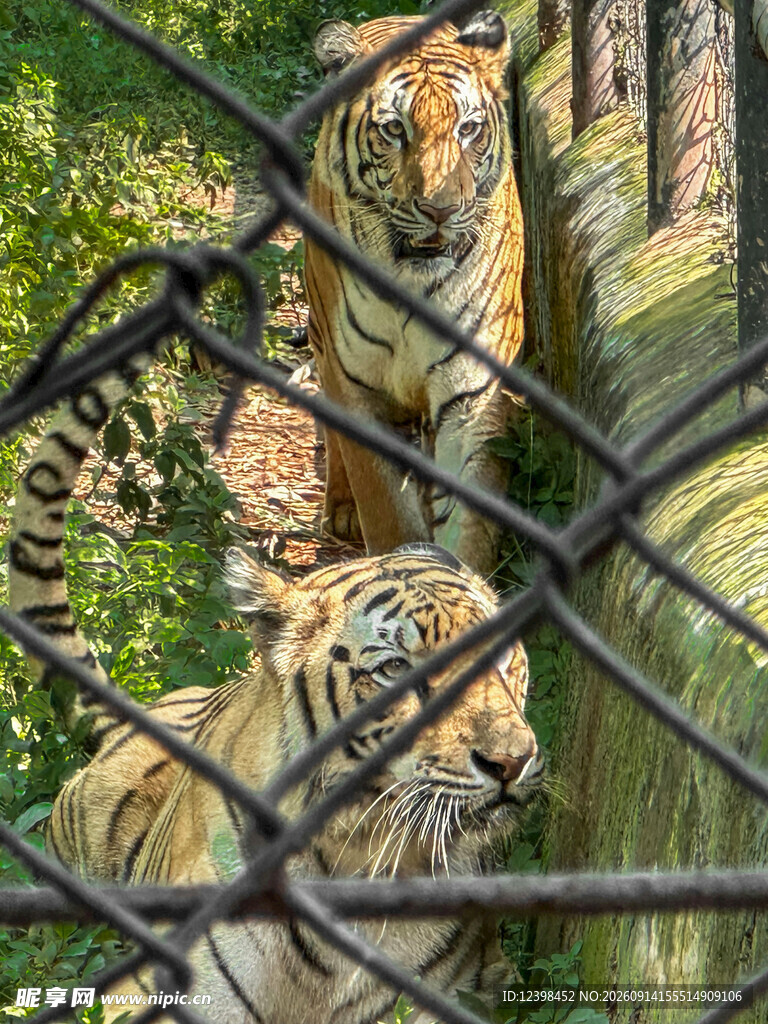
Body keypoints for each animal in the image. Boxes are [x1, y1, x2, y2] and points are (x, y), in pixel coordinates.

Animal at [305, 9, 525, 577]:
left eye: (468, 129)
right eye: (393, 129)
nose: (440, 209)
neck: (413, 280)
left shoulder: (474, 392)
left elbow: (470, 523)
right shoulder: (356, 384)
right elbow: (388, 513)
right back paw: (341, 510)